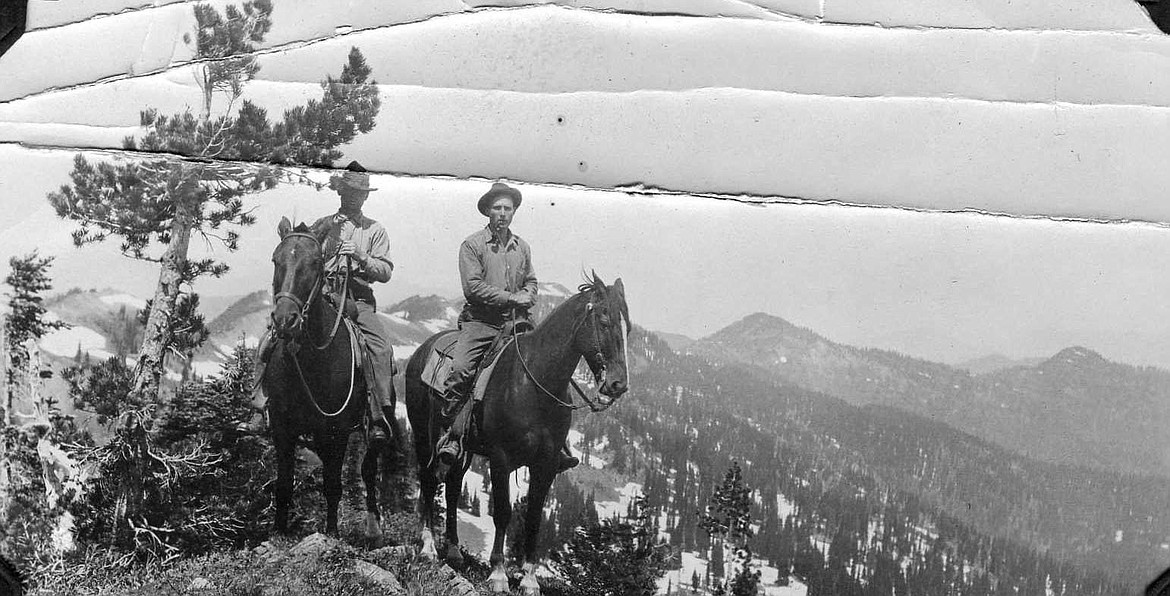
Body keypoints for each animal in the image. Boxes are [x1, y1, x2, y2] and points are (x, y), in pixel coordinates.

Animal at [262, 216, 397, 536]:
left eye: (315, 263)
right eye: (276, 260)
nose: (285, 320)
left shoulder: (337, 431)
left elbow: (333, 485)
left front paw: (332, 533)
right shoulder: (283, 428)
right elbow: (283, 485)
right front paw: (277, 533)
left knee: (368, 470)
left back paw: (374, 528)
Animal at [407, 271, 636, 592]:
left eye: (628, 328)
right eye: (604, 321)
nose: (618, 385)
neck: (535, 383)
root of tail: (422, 350)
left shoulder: (546, 464)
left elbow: (533, 519)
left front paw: (529, 579)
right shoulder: (501, 458)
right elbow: (503, 512)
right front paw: (499, 574)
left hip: (462, 449)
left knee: (452, 487)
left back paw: (453, 551)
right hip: (423, 435)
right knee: (428, 480)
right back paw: (428, 547)